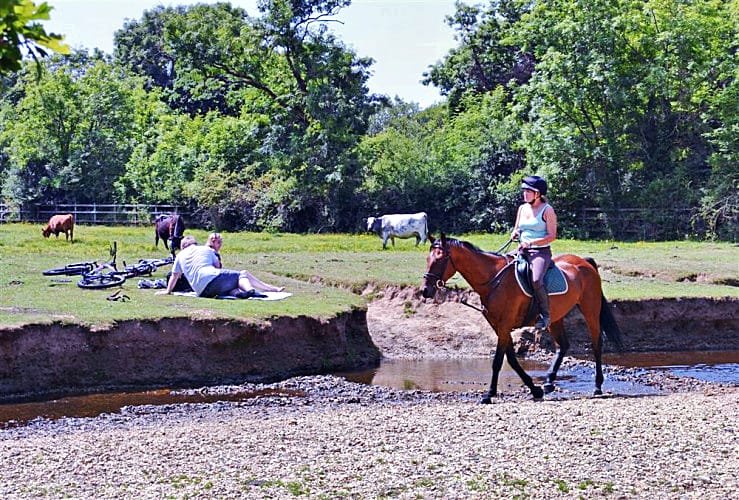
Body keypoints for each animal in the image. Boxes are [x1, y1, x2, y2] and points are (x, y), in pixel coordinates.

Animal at [422, 234, 624, 402]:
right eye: (427, 259)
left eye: (439, 259)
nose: (425, 290)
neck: (493, 280)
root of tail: (583, 262)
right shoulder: (499, 326)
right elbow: (511, 359)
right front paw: (535, 389)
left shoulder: (504, 325)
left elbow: (498, 361)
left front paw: (489, 394)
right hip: (555, 317)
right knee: (563, 345)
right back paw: (548, 382)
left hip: (590, 310)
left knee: (596, 343)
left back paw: (597, 386)